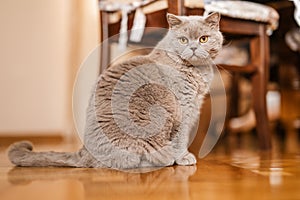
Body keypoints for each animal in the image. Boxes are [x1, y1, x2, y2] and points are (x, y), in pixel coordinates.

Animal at [7, 12, 223, 169]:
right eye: (183, 40)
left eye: (203, 39)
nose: (193, 48)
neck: (197, 71)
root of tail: (83, 152)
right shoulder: (183, 109)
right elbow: (181, 137)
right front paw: (184, 158)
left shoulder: (194, 105)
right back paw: (166, 159)